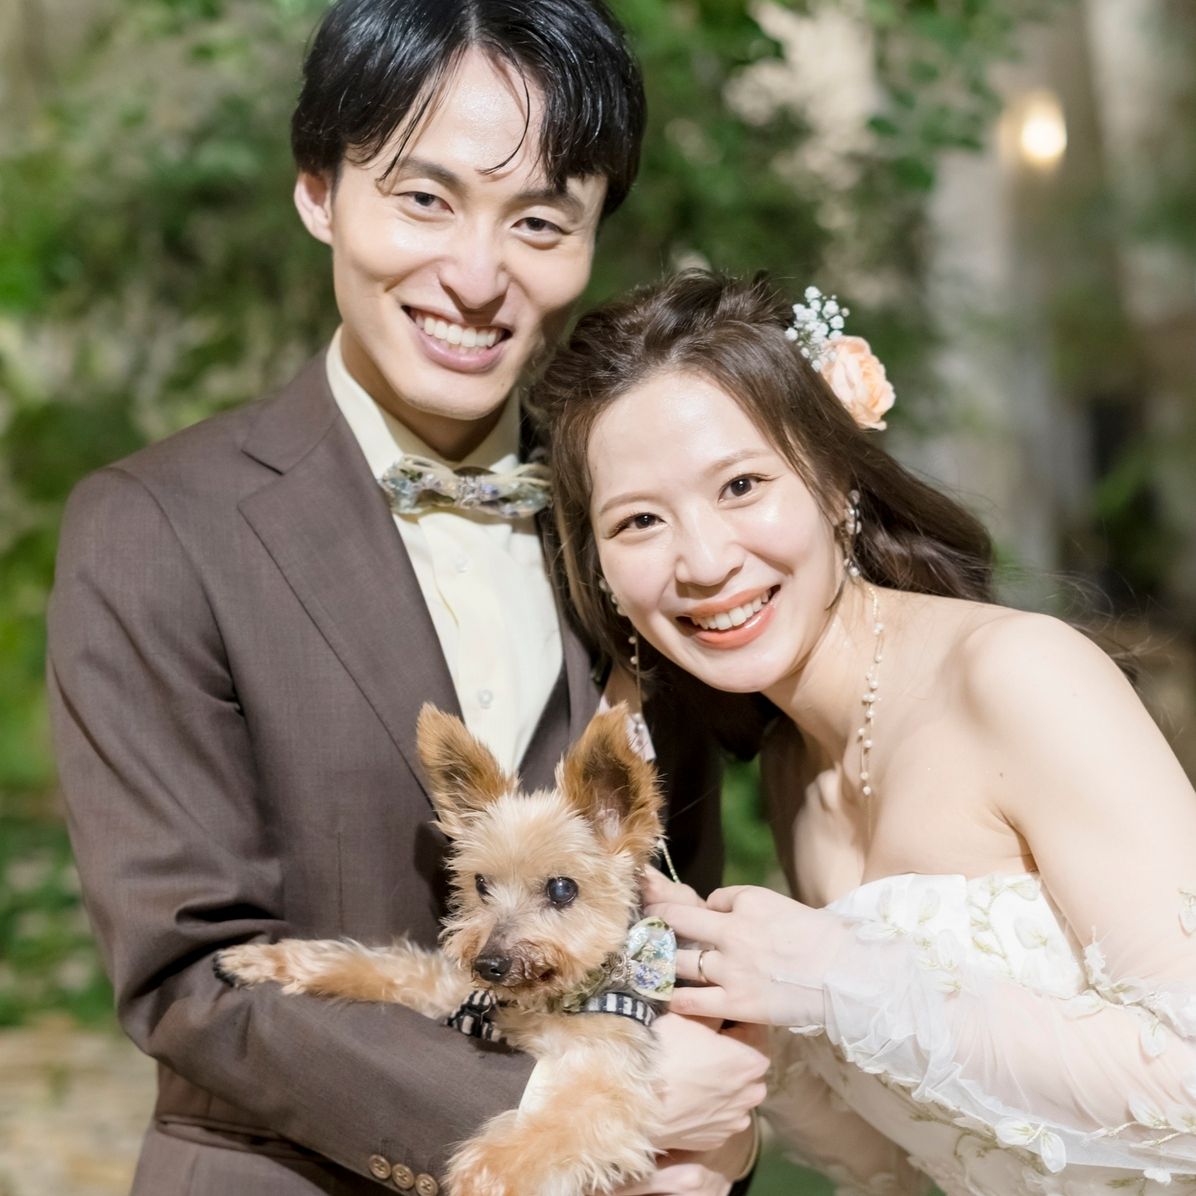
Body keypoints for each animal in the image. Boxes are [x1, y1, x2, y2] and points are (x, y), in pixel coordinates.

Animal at [215, 703, 673, 1196]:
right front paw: (263, 959)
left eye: (562, 888)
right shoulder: (448, 990)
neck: (538, 1004)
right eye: (481, 884)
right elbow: (383, 966)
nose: (488, 965)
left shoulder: (605, 1084)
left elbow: (528, 1145)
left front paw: (478, 1180)